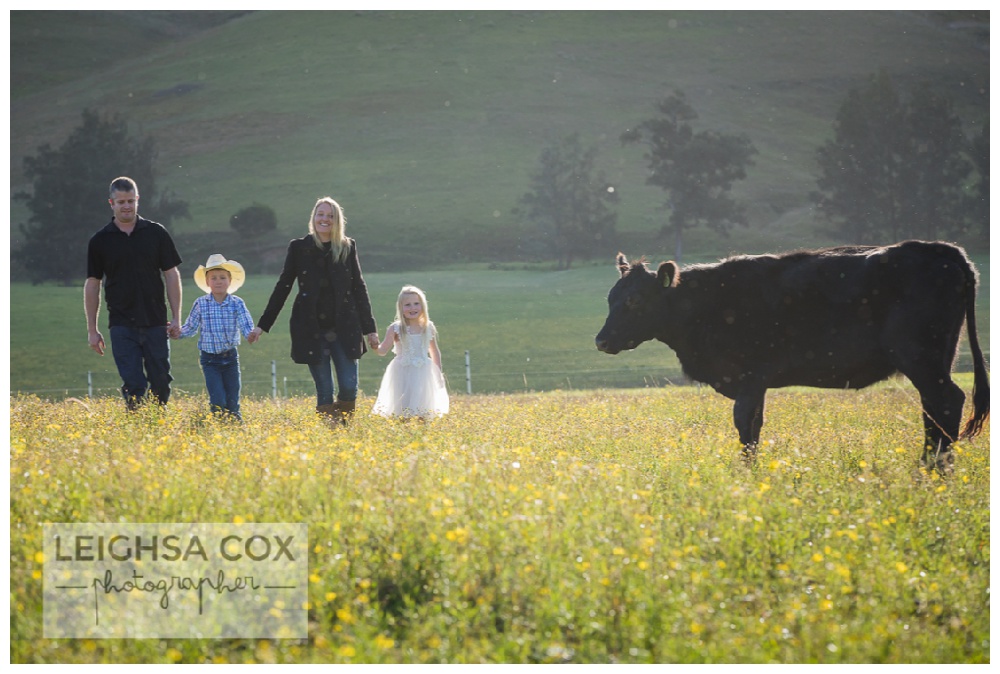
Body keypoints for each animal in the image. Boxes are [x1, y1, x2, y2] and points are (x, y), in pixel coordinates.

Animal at [596, 242, 988, 472]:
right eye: (611, 297)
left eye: (634, 300)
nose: (601, 340)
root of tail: (943, 251)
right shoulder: (757, 385)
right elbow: (754, 426)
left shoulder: (750, 378)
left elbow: (745, 426)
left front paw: (746, 473)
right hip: (936, 361)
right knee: (933, 409)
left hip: (920, 358)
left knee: (947, 402)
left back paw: (934, 470)